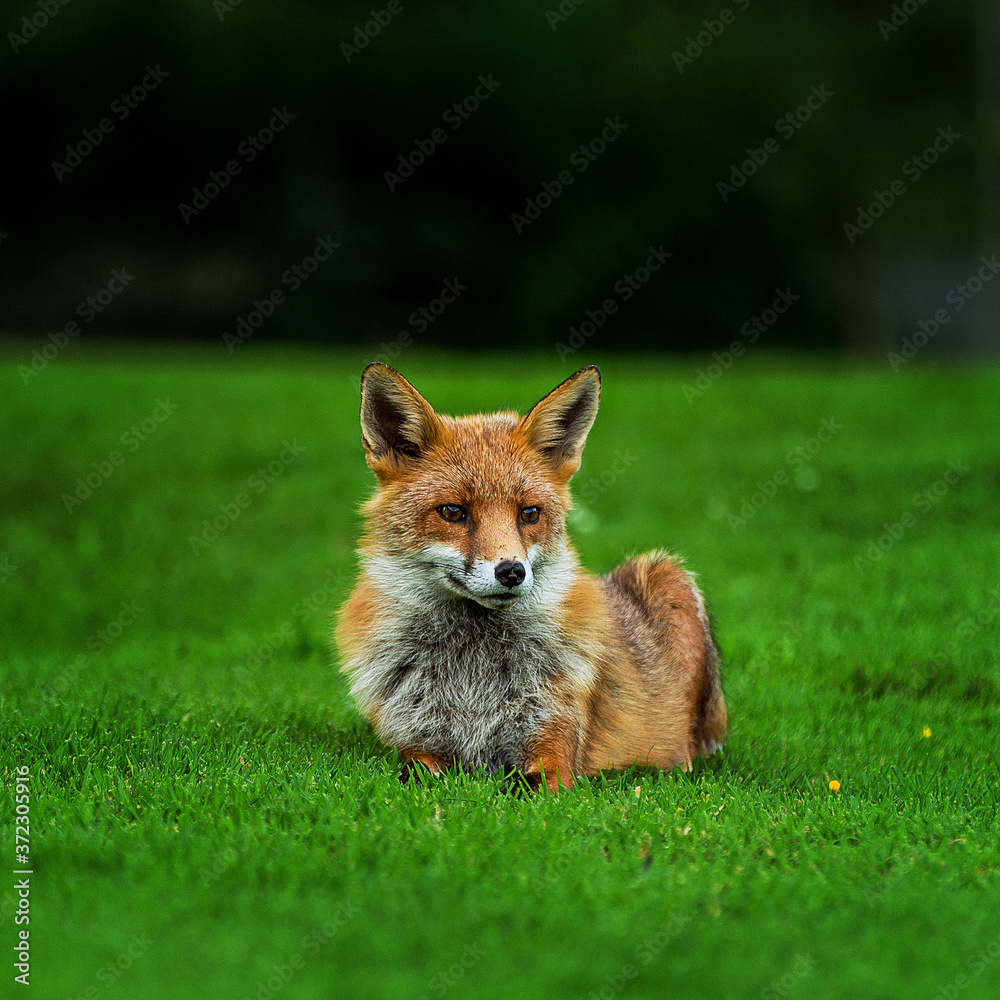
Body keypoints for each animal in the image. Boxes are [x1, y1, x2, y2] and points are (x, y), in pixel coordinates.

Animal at [335, 363, 727, 792]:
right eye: (453, 512)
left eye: (529, 514)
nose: (511, 571)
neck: (472, 672)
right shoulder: (415, 743)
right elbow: (413, 776)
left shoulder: (553, 745)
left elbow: (525, 787)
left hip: (665, 575)